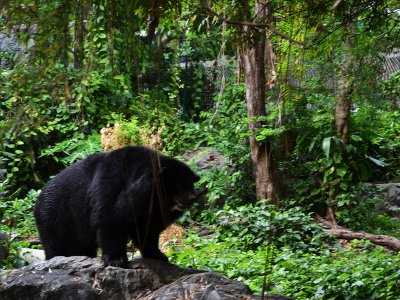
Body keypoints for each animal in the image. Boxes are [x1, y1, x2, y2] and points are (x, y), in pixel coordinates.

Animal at [33, 145, 199, 268]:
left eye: (190, 184)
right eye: (177, 186)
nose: (191, 199)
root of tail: (38, 198)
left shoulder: (148, 212)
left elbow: (148, 231)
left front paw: (159, 255)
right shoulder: (111, 188)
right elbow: (110, 220)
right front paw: (116, 260)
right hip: (56, 216)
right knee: (57, 243)